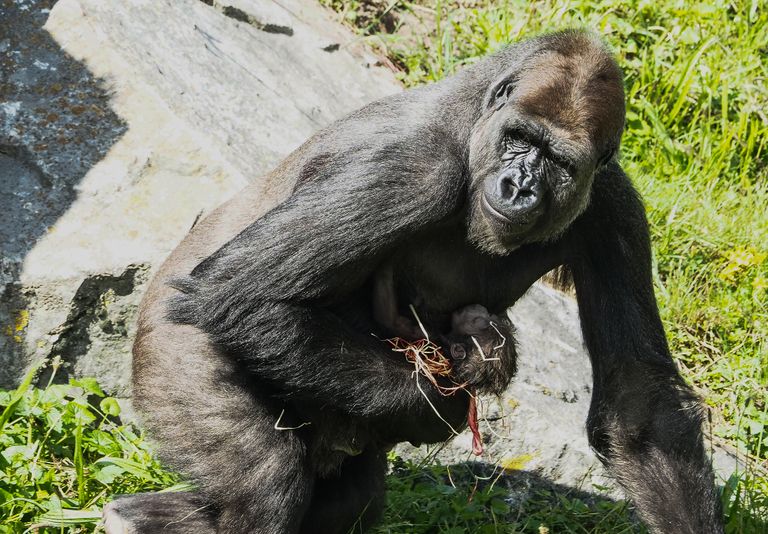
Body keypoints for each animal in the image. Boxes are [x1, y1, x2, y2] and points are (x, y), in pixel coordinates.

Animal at [105, 29, 724, 534]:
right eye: (520, 140)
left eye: (558, 162)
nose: (519, 186)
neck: (478, 117)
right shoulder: (414, 165)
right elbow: (242, 295)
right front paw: (433, 405)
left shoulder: (614, 205)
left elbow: (638, 402)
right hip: (171, 352)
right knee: (265, 480)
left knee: (344, 501)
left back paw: (135, 517)